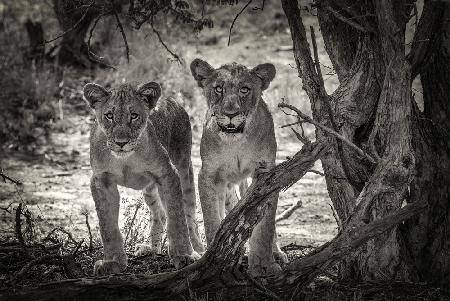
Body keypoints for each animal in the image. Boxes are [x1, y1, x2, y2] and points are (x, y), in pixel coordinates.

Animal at [83, 80, 204, 274]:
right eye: (109, 115)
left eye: (134, 116)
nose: (121, 142)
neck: (126, 159)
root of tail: (171, 99)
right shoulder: (102, 180)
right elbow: (107, 226)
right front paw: (113, 262)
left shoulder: (167, 173)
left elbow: (177, 217)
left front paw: (184, 255)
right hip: (149, 189)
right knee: (158, 214)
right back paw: (151, 249)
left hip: (184, 166)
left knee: (189, 213)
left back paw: (198, 249)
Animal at [190, 58, 288, 274]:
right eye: (218, 88)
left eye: (244, 89)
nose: (230, 114)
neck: (235, 142)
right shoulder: (208, 175)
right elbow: (212, 218)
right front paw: (214, 255)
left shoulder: (266, 173)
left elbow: (265, 226)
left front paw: (263, 265)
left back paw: (276, 252)